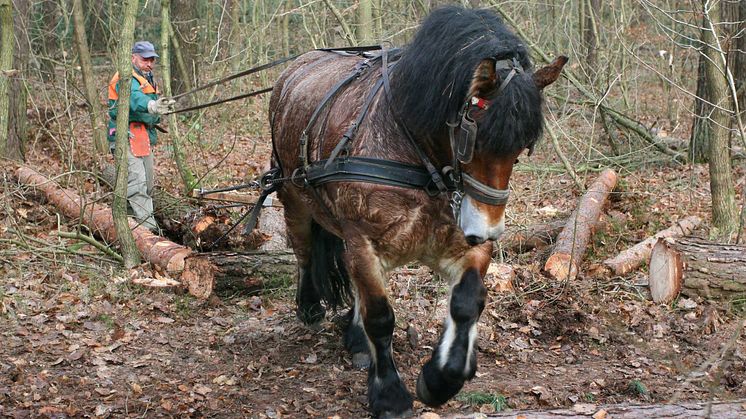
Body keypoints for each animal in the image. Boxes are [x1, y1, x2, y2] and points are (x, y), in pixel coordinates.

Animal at [268, 5, 564, 416]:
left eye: (521, 149)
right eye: (474, 141)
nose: (487, 230)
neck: (420, 159)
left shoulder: (460, 244)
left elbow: (467, 301)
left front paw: (441, 379)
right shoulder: (364, 243)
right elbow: (380, 317)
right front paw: (390, 394)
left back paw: (356, 340)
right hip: (293, 195)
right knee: (305, 249)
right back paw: (310, 306)